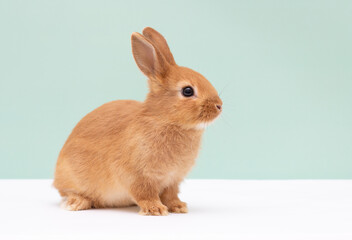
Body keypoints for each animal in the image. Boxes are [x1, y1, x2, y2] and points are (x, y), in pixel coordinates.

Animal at [53, 26, 223, 216]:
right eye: (187, 91)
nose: (219, 105)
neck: (164, 119)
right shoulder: (137, 176)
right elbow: (144, 193)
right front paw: (155, 209)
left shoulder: (172, 180)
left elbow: (171, 195)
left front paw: (178, 206)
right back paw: (76, 203)